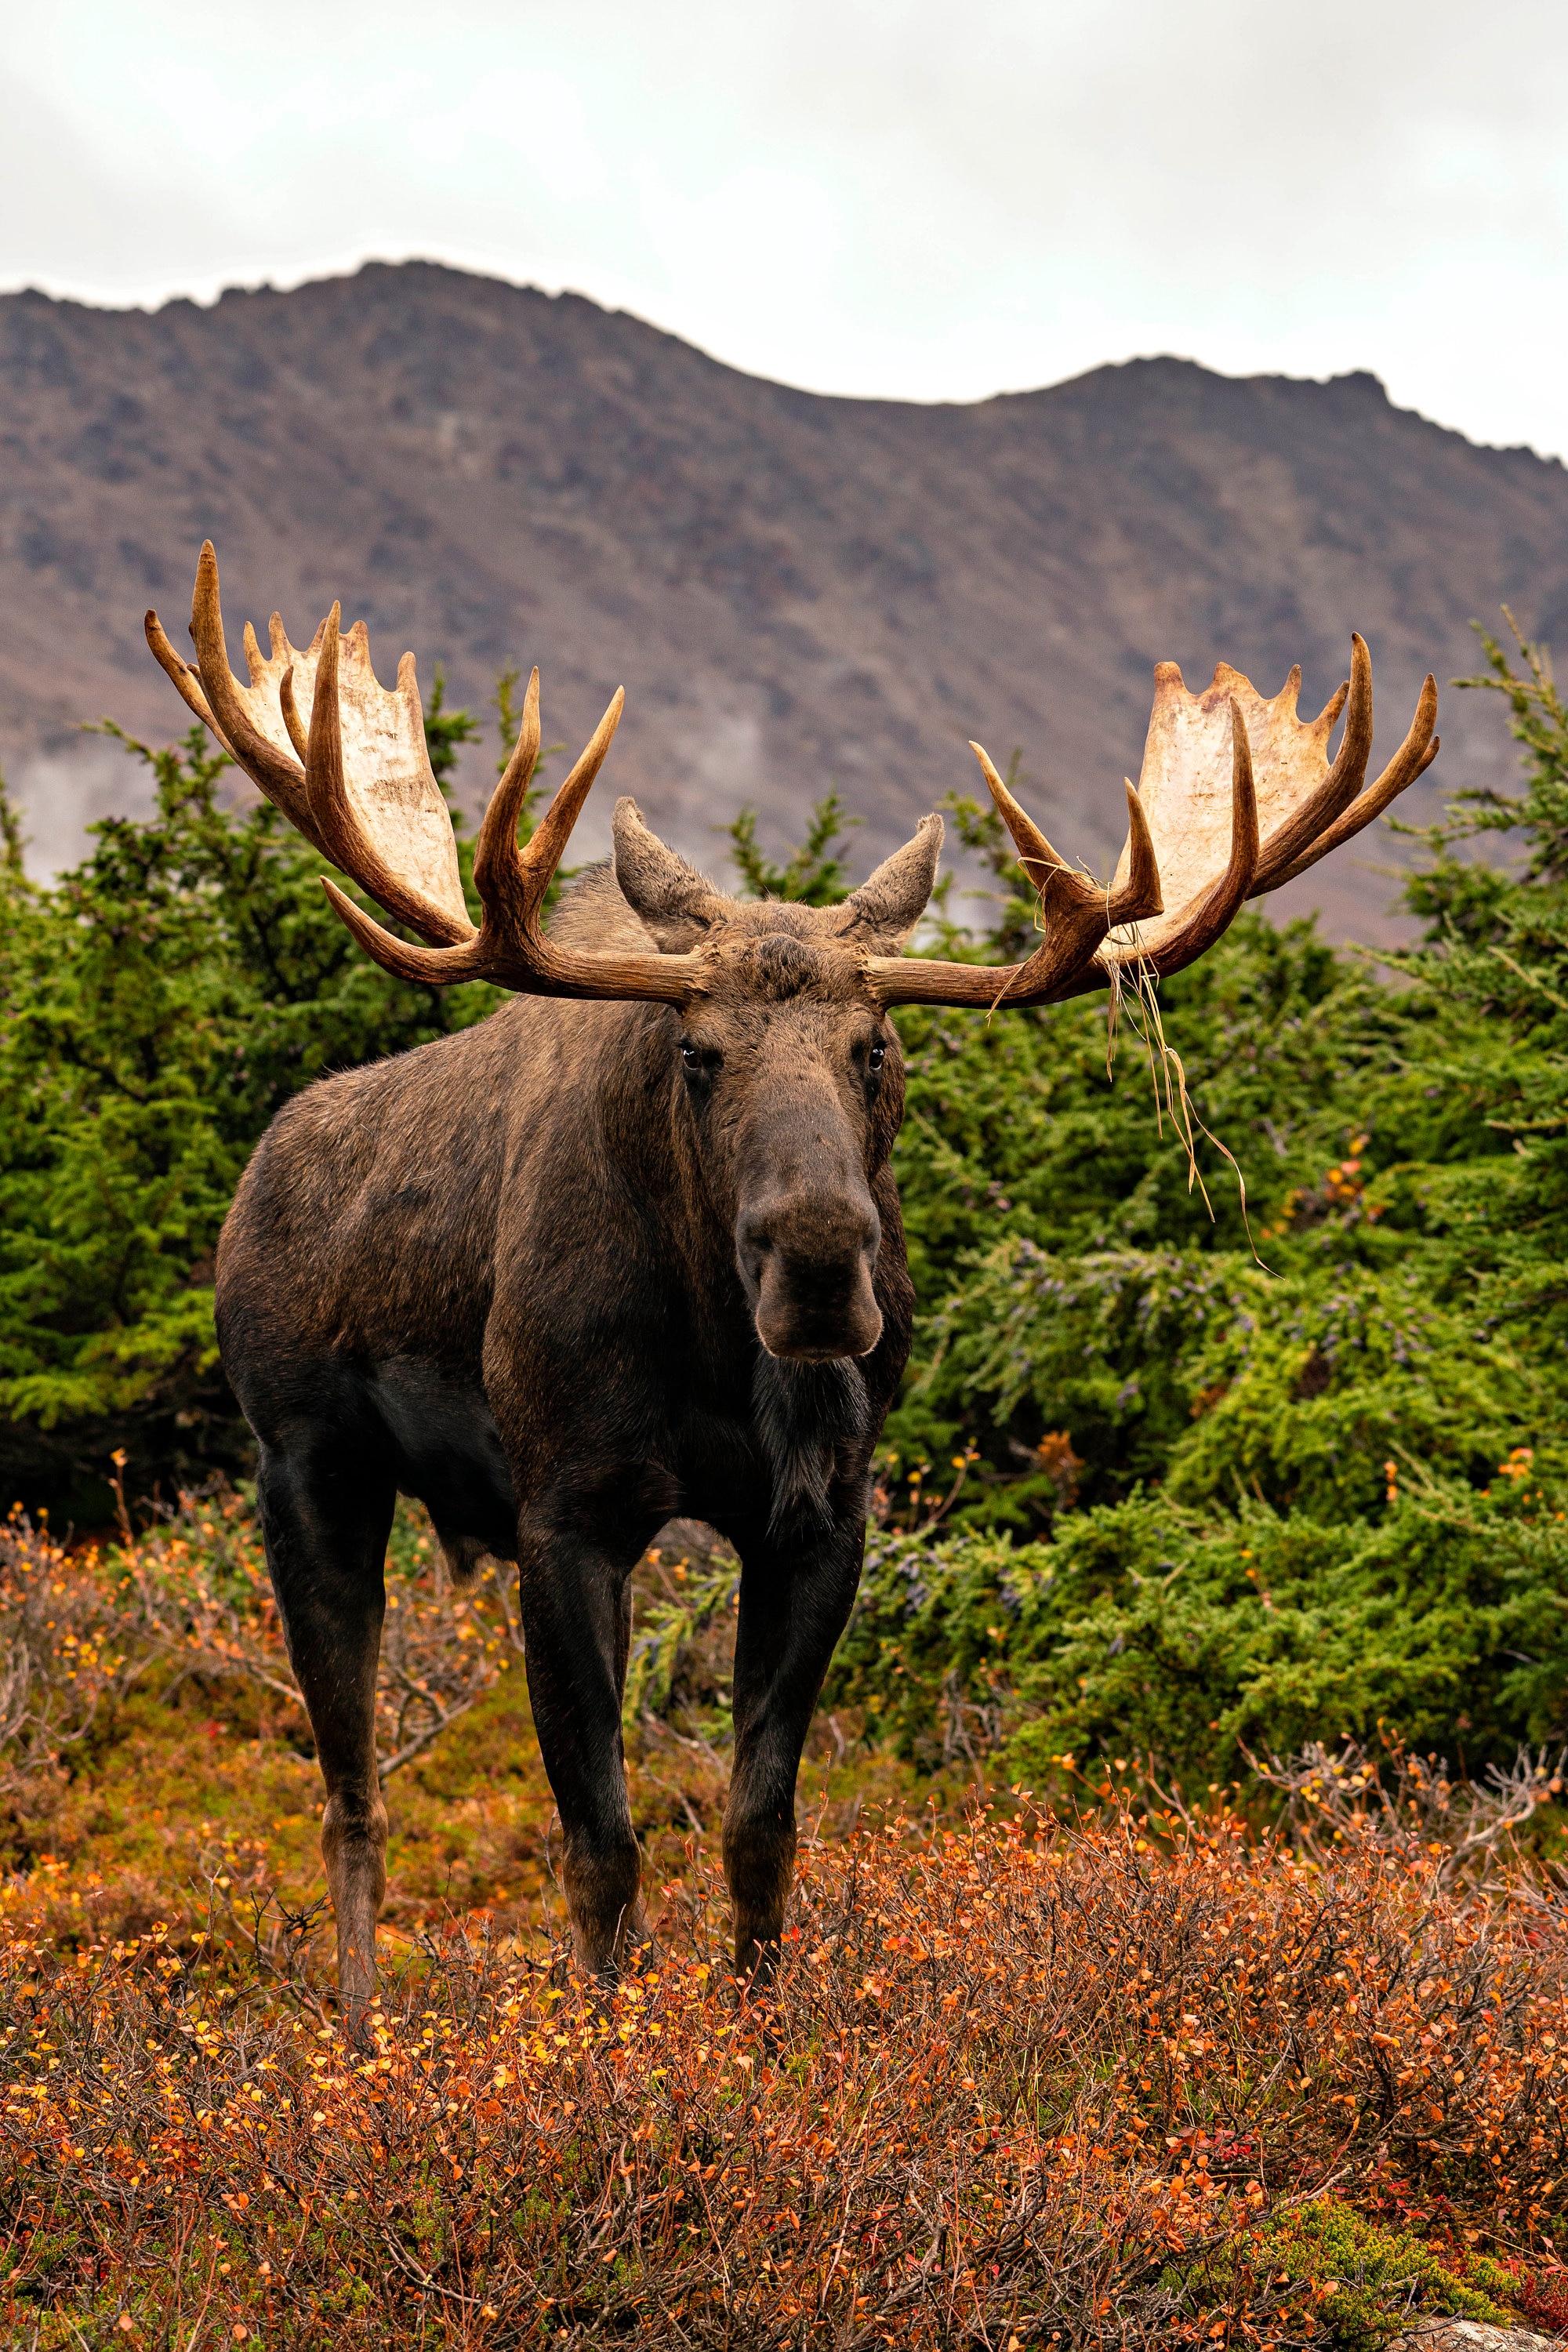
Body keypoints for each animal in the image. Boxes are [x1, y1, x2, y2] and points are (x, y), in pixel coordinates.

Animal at [146, 543, 1438, 2021]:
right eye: (697, 1052)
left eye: (878, 1046)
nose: (822, 1261)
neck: (717, 1352)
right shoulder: (566, 1508)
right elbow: (600, 1844)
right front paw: (608, 2047)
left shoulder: (821, 1517)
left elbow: (760, 1827)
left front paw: (761, 2041)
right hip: (304, 1466)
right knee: (350, 1792)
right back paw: (359, 2032)